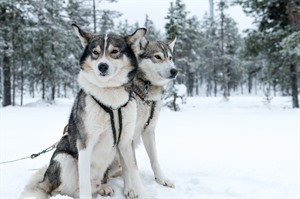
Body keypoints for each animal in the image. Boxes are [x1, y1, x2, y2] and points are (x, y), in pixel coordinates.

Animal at [20, 24, 148, 199]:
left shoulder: (125, 142)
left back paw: (103, 187)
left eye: (114, 51)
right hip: (63, 158)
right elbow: (84, 183)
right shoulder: (85, 144)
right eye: (95, 52)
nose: (102, 66)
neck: (111, 101)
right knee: (64, 190)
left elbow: (134, 172)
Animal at [108, 37, 178, 188]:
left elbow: (154, 159)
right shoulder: (127, 134)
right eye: (157, 57)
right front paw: (129, 189)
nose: (174, 71)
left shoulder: (149, 130)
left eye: (170, 58)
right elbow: (129, 167)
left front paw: (161, 179)